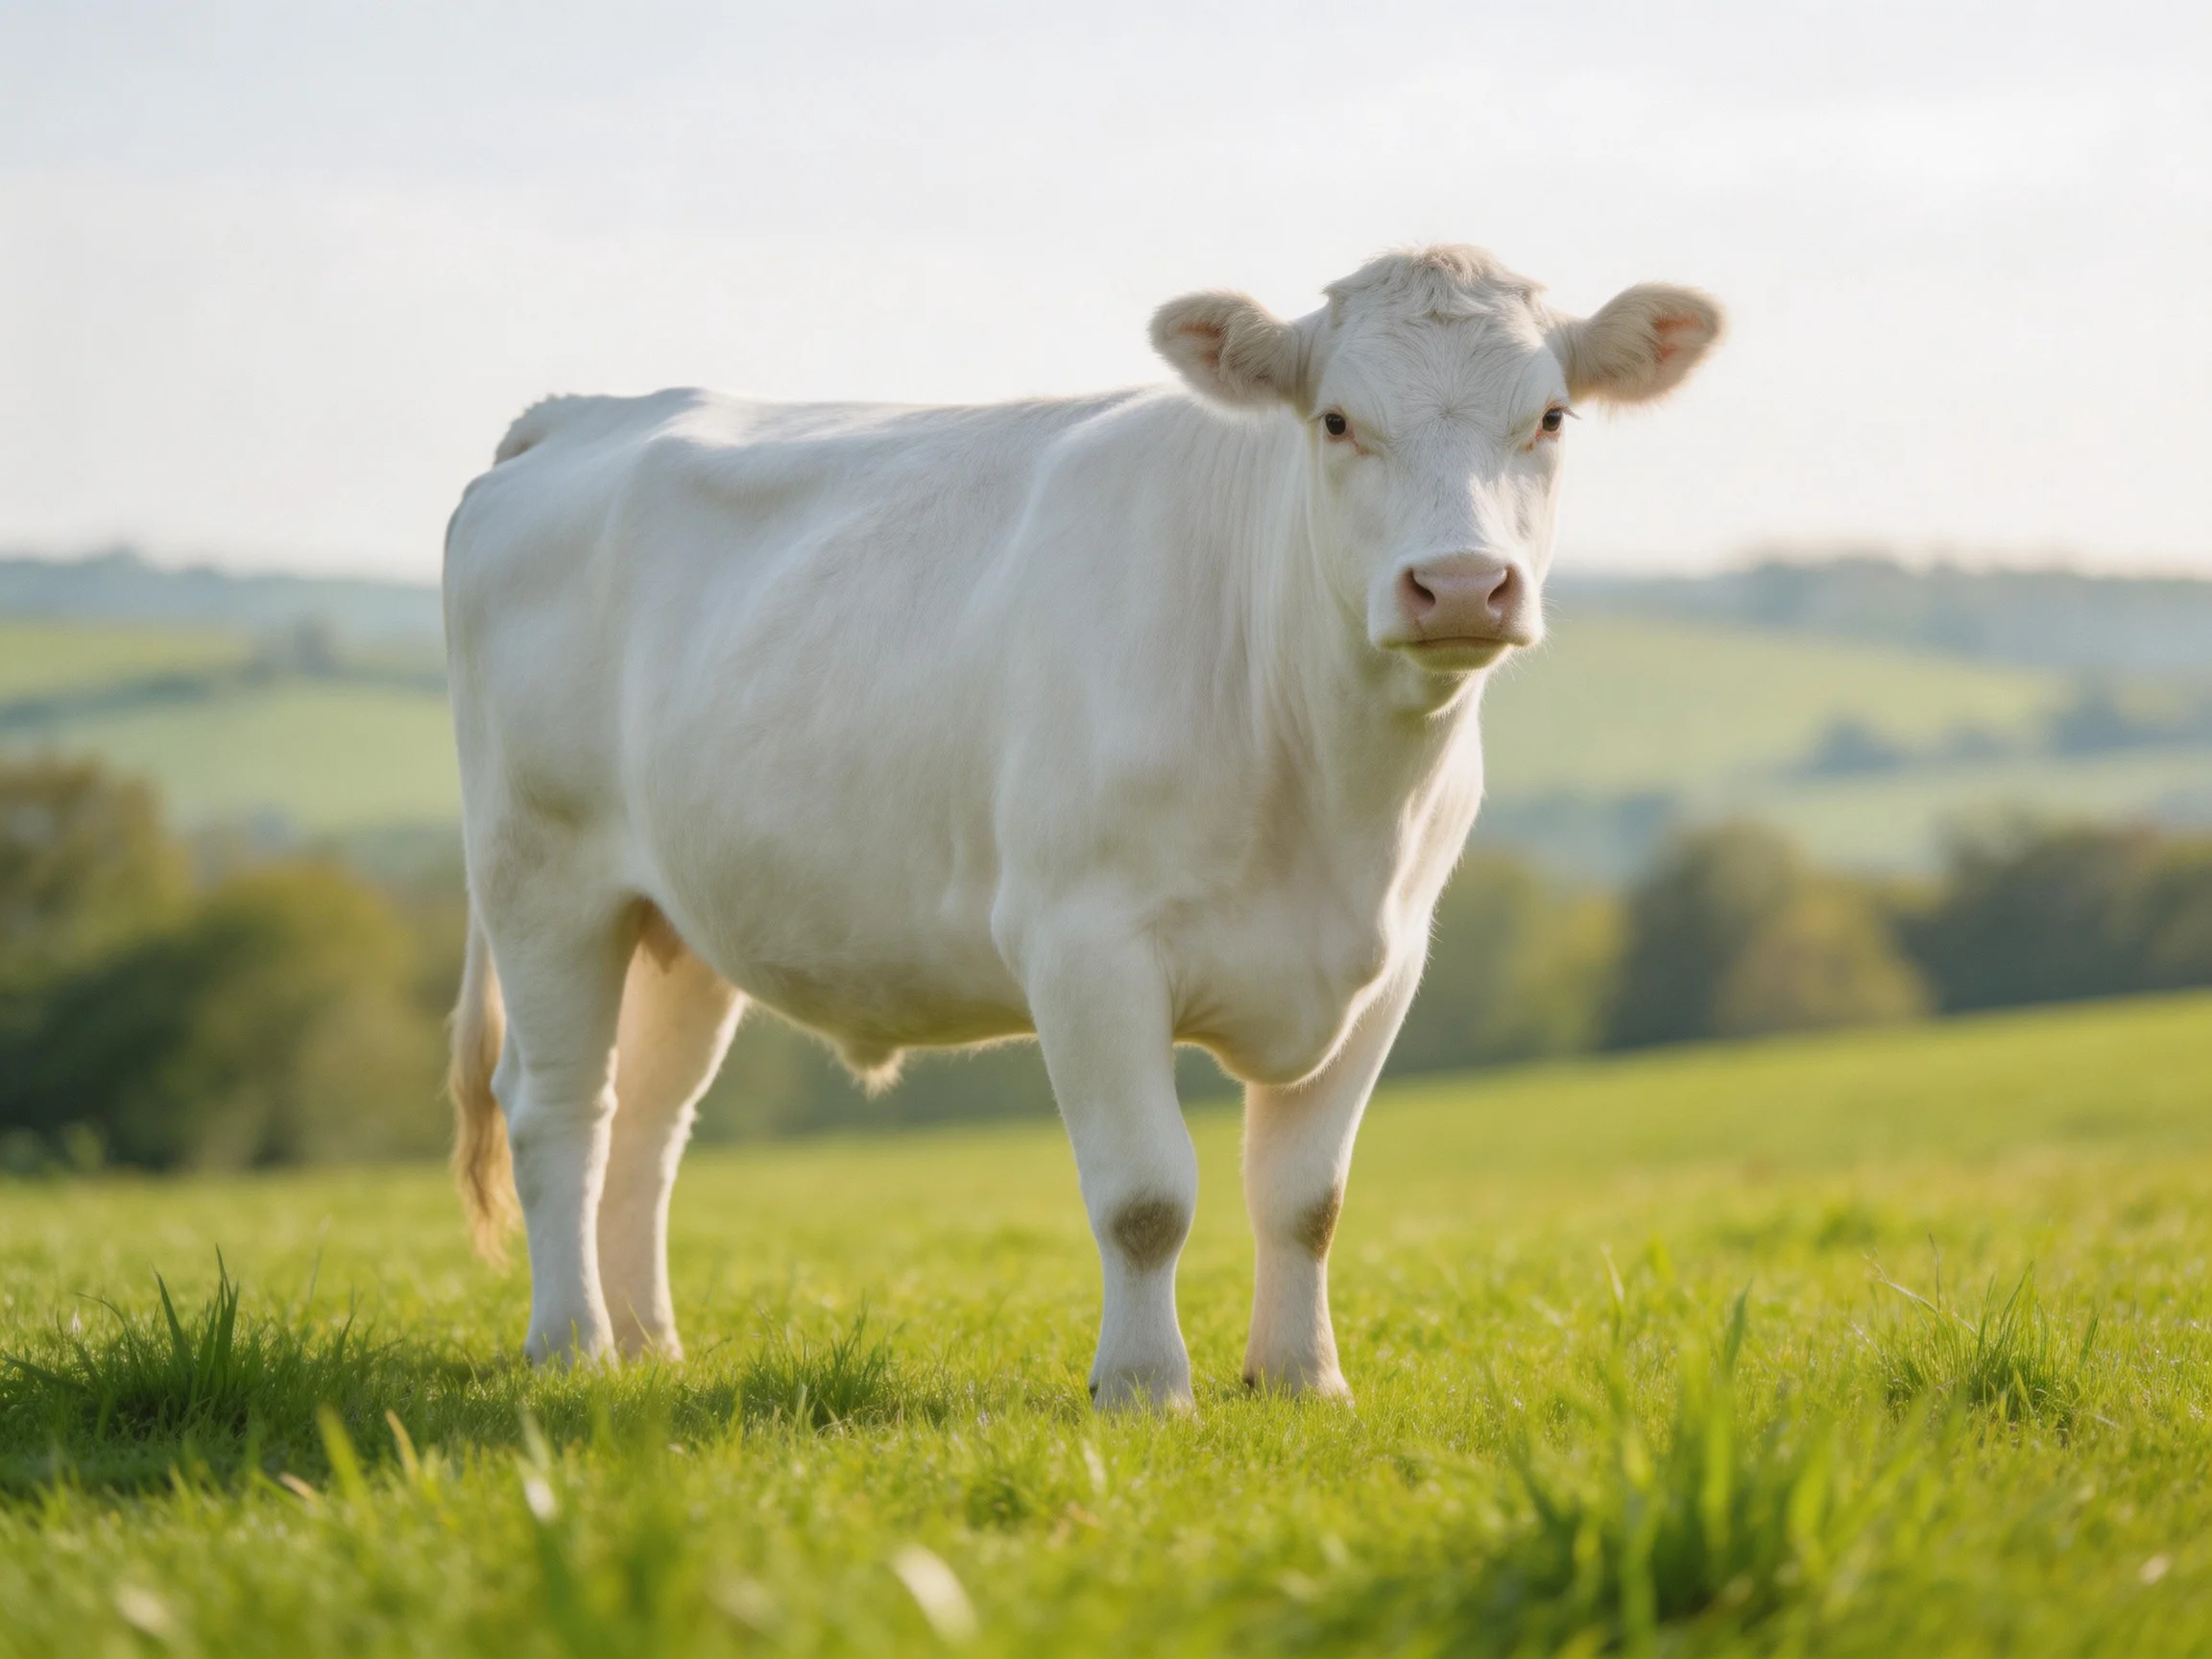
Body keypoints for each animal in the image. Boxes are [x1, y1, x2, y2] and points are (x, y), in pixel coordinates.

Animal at [443, 245, 1721, 1409]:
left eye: (1550, 416)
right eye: (1337, 419)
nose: (1458, 585)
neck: (1334, 795)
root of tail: (585, 414)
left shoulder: (1388, 962)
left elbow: (1306, 1199)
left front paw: (1303, 1379)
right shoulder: (1085, 945)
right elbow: (1147, 1196)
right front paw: (1148, 1388)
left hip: (678, 920)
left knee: (649, 1126)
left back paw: (649, 1347)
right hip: (542, 874)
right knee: (559, 1109)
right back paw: (572, 1346)